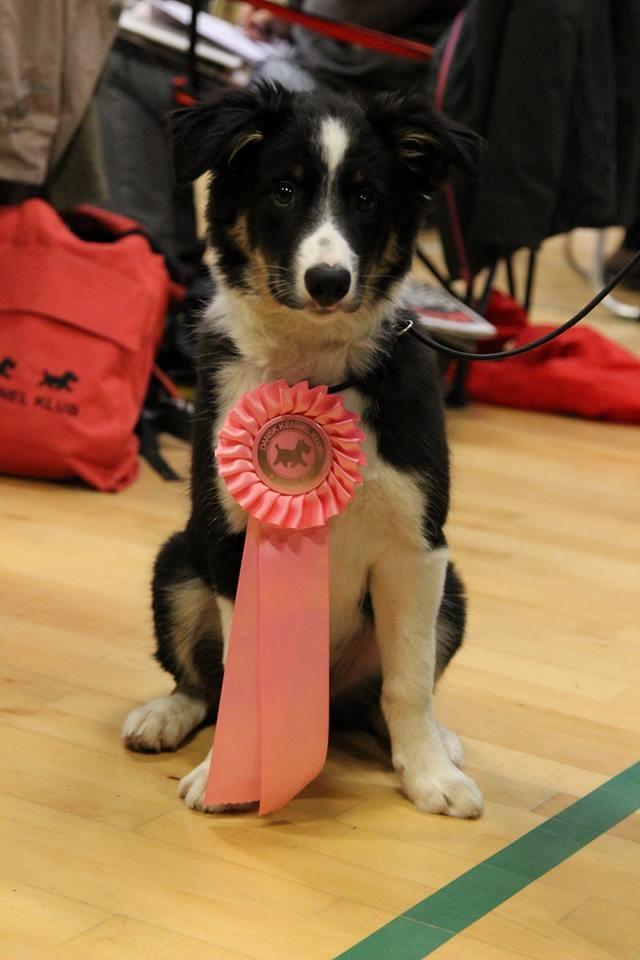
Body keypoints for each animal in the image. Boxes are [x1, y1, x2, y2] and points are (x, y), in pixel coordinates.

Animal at [122, 80, 482, 816]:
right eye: (284, 190)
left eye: (367, 198)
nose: (327, 280)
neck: (315, 370)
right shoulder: (232, 540)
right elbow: (244, 673)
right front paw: (229, 777)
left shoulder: (416, 548)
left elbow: (409, 683)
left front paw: (431, 777)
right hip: (178, 562)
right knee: (201, 682)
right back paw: (163, 716)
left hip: (452, 592)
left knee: (382, 696)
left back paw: (435, 741)